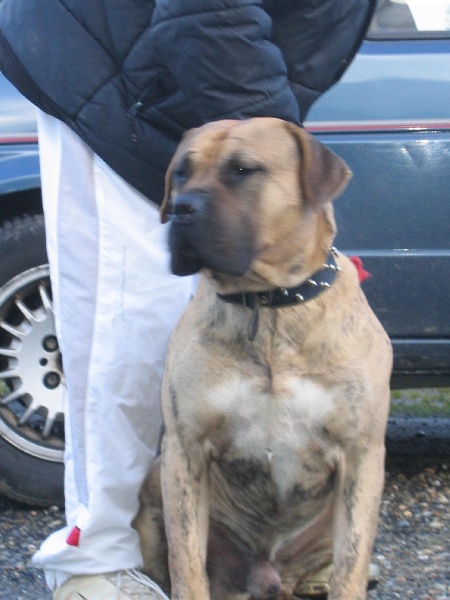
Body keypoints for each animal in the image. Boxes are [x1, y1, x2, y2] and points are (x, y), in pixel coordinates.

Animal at [134, 118, 393, 600]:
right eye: (181, 173)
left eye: (242, 170)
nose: (179, 209)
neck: (269, 305)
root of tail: (263, 575)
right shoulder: (184, 449)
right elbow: (186, 561)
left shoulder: (361, 456)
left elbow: (351, 563)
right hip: (155, 480)